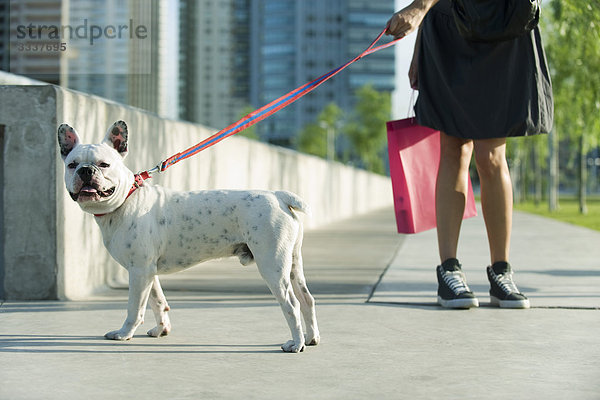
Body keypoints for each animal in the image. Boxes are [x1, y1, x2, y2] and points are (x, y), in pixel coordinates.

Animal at [57, 120, 318, 352]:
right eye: (72, 165)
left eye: (104, 164)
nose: (85, 170)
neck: (126, 198)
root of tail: (278, 195)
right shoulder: (147, 272)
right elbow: (157, 302)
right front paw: (161, 329)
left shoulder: (139, 272)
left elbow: (135, 308)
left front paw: (124, 333)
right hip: (292, 264)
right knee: (306, 299)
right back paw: (310, 338)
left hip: (272, 265)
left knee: (292, 304)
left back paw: (296, 344)